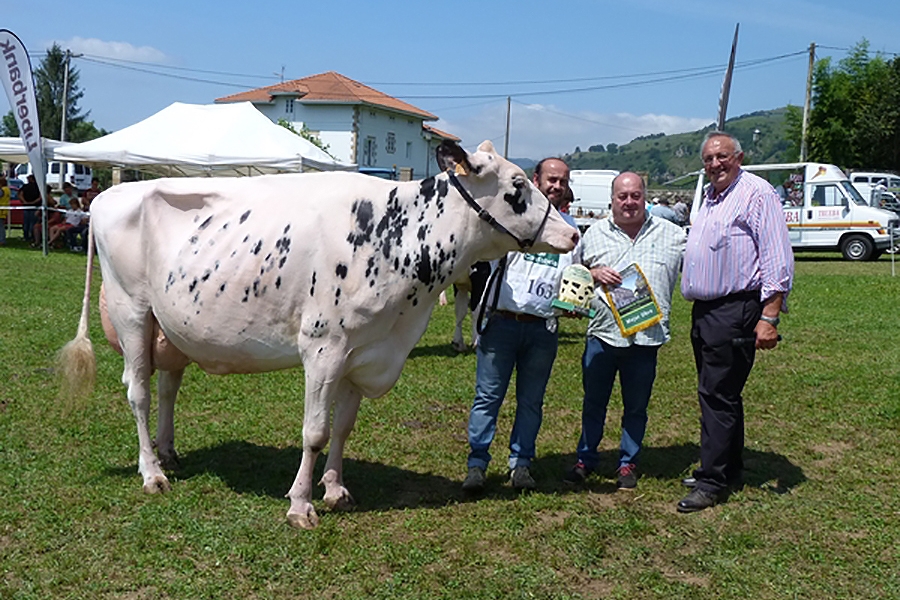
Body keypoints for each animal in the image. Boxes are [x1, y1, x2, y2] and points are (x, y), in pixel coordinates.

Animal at [65, 139, 584, 524]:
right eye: (517, 185)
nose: (573, 233)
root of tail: (110, 195)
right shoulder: (323, 347)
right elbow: (314, 431)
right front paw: (301, 504)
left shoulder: (365, 351)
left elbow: (344, 427)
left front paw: (335, 489)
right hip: (133, 312)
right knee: (138, 391)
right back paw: (152, 472)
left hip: (172, 327)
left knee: (168, 387)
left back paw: (169, 452)